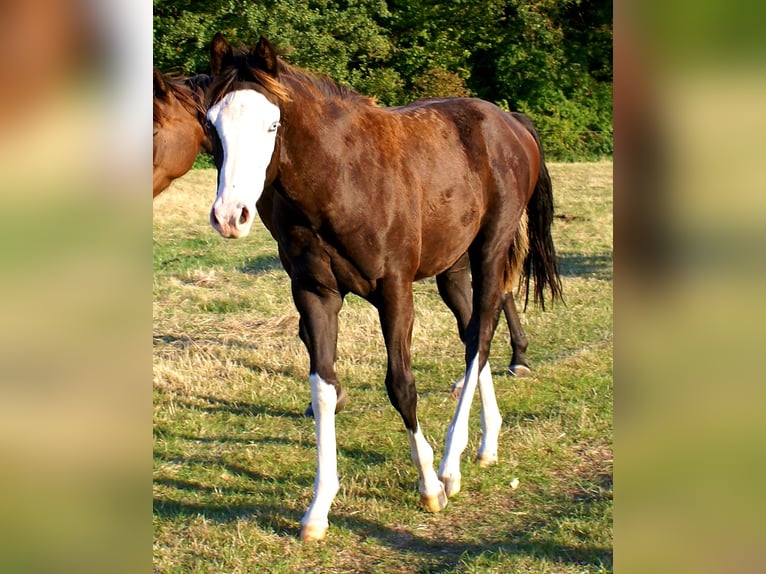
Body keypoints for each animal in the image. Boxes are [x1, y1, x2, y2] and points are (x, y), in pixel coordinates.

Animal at [204, 33, 561, 541]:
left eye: (272, 124)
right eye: (211, 124)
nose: (230, 216)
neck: (342, 180)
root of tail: (511, 123)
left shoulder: (394, 291)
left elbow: (401, 384)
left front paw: (429, 485)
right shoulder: (314, 294)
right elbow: (324, 389)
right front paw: (319, 508)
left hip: (490, 251)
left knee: (482, 335)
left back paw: (451, 465)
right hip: (453, 268)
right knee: (474, 331)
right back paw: (487, 442)